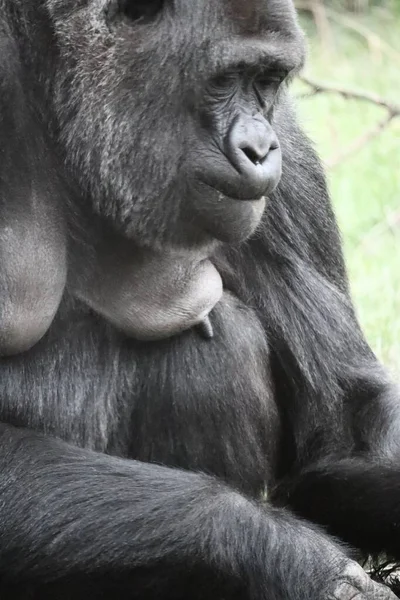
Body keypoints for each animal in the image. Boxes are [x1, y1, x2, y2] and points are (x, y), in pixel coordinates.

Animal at [0, 0, 400, 596]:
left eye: (266, 81)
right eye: (224, 79)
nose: (261, 149)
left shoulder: (288, 141)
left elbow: (343, 422)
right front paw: (289, 558)